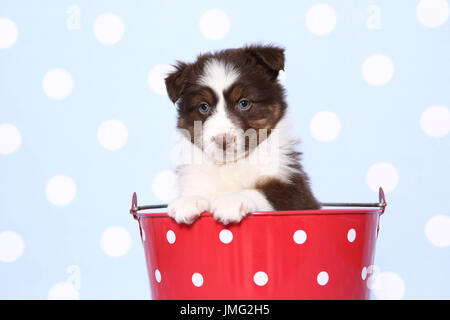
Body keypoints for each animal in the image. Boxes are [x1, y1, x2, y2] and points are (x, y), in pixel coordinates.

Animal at [165, 44, 320, 225]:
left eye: (244, 103)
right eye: (204, 107)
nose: (222, 140)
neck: (230, 165)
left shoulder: (293, 190)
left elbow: (259, 192)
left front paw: (231, 201)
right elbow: (196, 191)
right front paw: (187, 201)